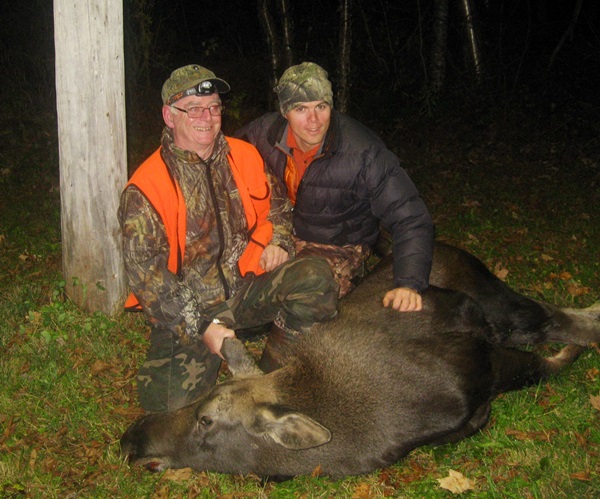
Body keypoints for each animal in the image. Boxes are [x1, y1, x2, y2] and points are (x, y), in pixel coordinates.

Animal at [120, 242, 599, 479]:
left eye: (207, 420)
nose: (131, 438)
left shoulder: (476, 346)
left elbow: (545, 365)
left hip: (498, 301)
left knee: (554, 318)